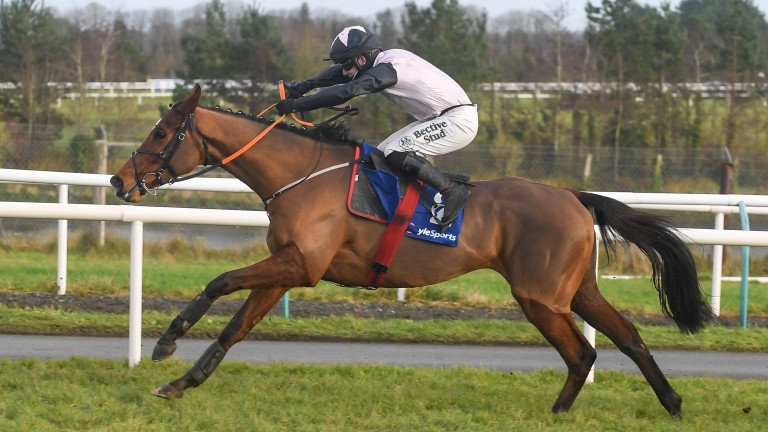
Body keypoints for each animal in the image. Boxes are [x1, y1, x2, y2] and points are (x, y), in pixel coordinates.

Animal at [109, 84, 712, 418]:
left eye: (161, 133)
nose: (118, 181)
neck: (301, 173)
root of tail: (572, 196)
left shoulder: (302, 265)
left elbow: (219, 282)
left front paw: (165, 342)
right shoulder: (288, 269)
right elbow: (235, 328)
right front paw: (180, 382)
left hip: (540, 296)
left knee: (583, 353)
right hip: (575, 290)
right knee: (625, 338)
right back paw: (670, 403)